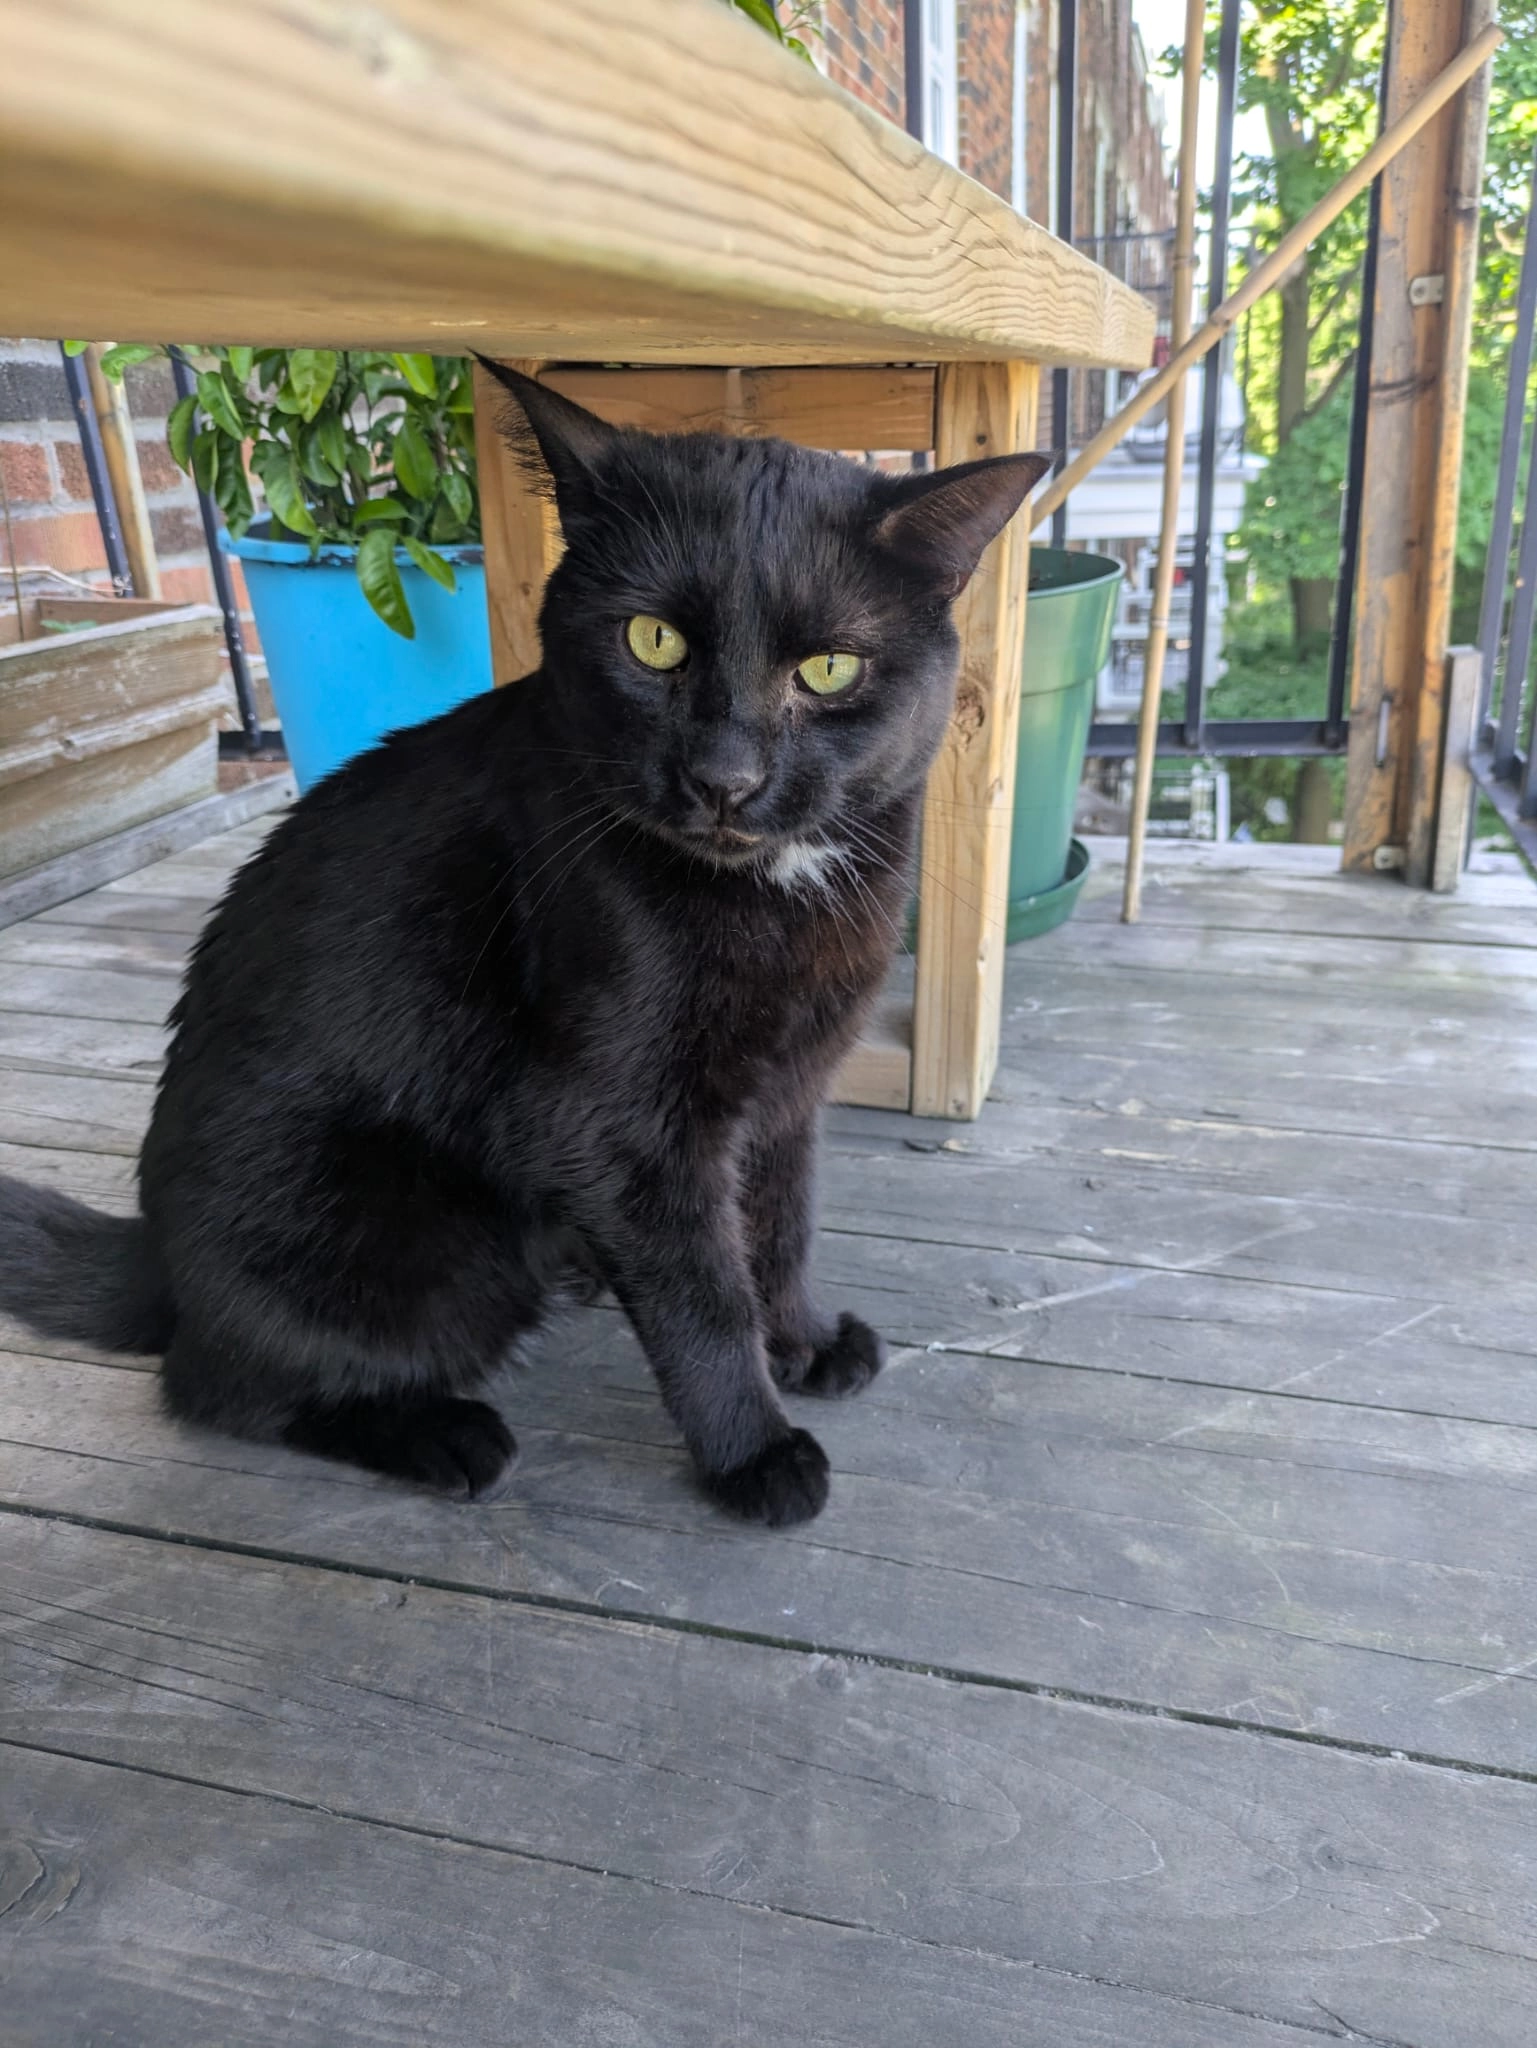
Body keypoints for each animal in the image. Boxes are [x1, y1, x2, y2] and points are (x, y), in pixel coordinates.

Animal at [0, 361, 1048, 1527]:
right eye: (653, 641)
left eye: (827, 668)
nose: (724, 779)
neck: (774, 892)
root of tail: (158, 1260)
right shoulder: (620, 1118)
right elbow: (702, 1291)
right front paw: (754, 1450)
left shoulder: (789, 1087)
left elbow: (781, 1225)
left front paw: (805, 1341)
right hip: (429, 1250)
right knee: (221, 1384)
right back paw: (443, 1432)